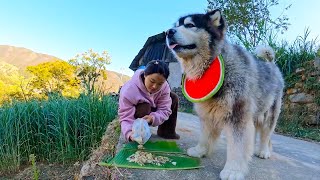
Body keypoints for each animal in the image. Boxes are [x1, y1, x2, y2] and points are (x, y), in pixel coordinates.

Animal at [166, 9, 284, 179]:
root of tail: (272, 65)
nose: (168, 32)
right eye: (176, 25)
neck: (209, 65)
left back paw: (263, 151)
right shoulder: (208, 113)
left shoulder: (238, 116)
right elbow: (206, 135)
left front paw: (233, 170)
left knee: (266, 135)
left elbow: (237, 147)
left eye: (190, 25)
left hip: (268, 115)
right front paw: (200, 150)